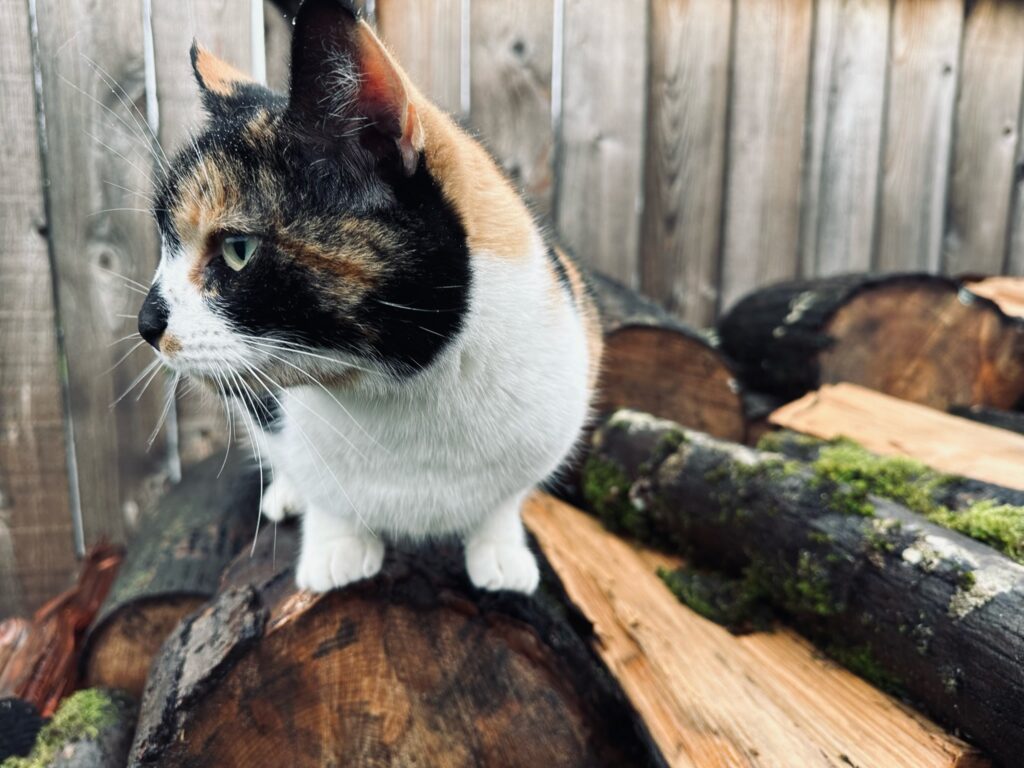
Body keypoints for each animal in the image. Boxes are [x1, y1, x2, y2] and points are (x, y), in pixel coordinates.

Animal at [135, 0, 598, 593]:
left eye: (238, 249)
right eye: (165, 240)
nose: (146, 321)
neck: (400, 391)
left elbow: (505, 500)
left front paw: (498, 550)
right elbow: (321, 489)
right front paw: (337, 548)